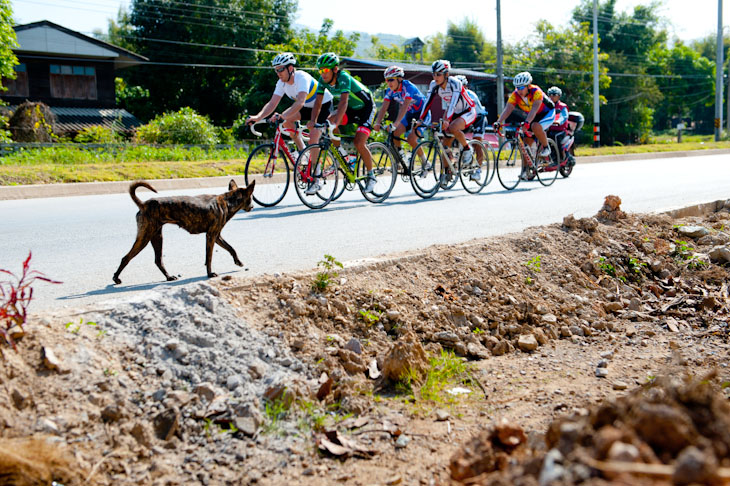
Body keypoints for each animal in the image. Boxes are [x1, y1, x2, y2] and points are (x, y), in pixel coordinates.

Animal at [111, 179, 253, 284]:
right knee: (126, 258)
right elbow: (209, 257)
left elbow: (231, 248)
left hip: (157, 237)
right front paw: (210, 273)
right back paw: (116, 278)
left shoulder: (217, 236)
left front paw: (238, 261)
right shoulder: (211, 236)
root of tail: (143, 204)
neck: (228, 201)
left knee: (158, 260)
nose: (252, 207)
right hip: (144, 238)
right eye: (251, 198)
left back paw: (168, 277)